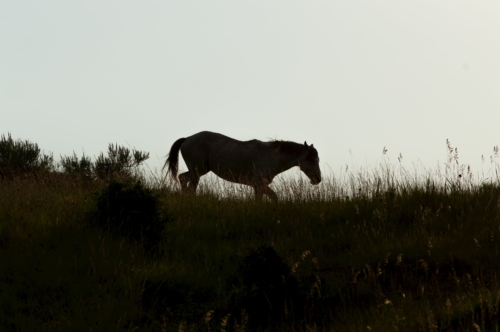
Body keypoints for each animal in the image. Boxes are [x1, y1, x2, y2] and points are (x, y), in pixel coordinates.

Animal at [164, 131, 320, 201]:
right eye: (311, 159)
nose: (318, 179)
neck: (272, 156)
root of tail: (187, 139)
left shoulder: (258, 187)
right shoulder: (259, 184)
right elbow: (274, 197)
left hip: (199, 171)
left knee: (182, 178)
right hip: (197, 171)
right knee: (190, 186)